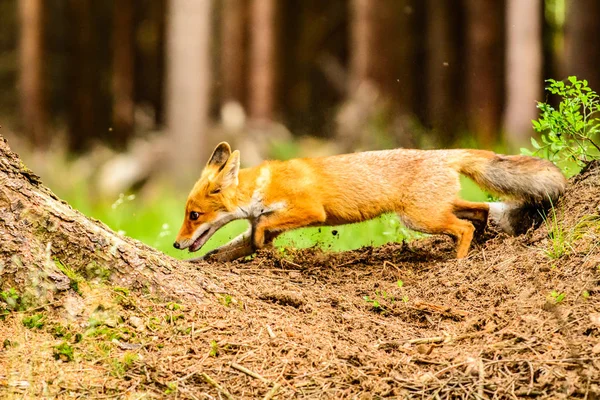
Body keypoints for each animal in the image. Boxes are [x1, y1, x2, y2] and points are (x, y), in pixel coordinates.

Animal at [173, 142, 568, 260]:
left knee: (463, 228)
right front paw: (212, 259)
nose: (176, 244)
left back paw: (457, 263)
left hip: (419, 218)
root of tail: (443, 152)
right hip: (433, 209)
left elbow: (260, 232)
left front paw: (257, 249)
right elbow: (233, 247)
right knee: (480, 211)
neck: (263, 187)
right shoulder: (266, 221)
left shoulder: (307, 211)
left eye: (193, 215)